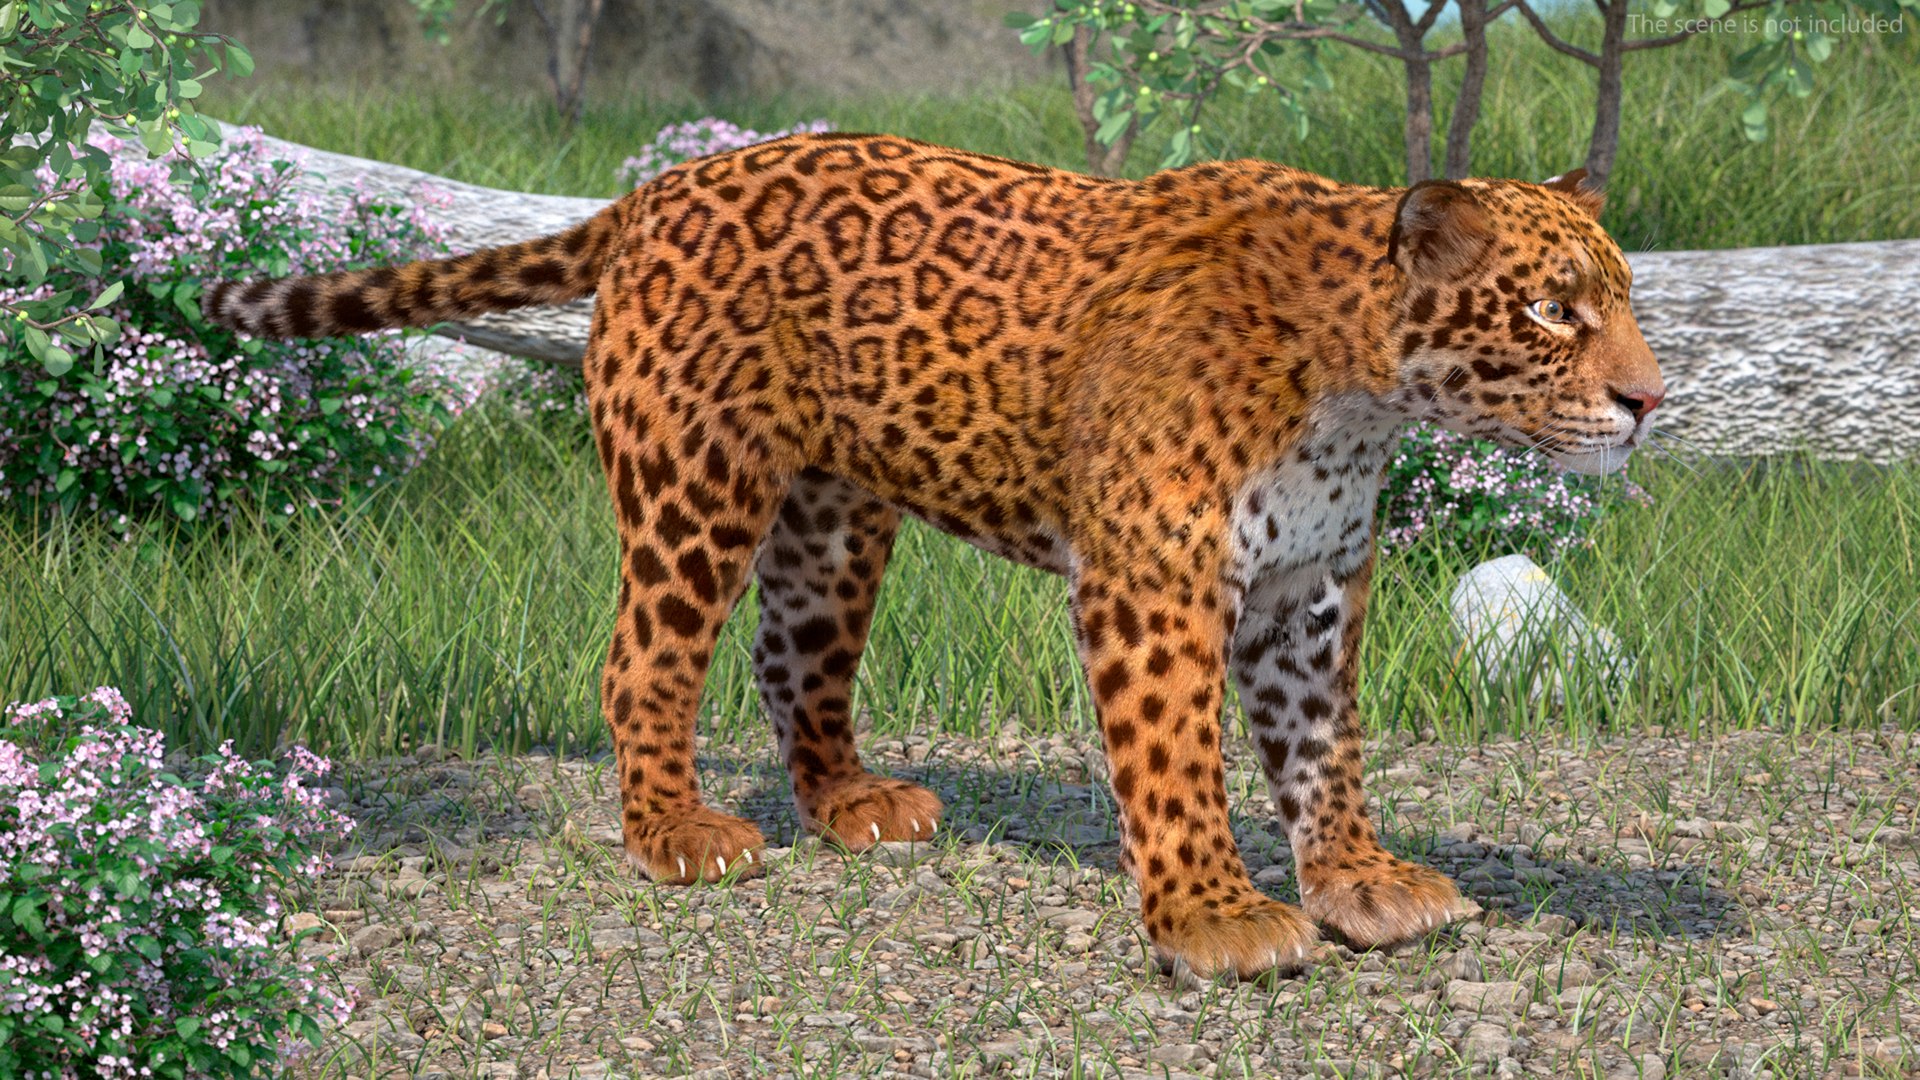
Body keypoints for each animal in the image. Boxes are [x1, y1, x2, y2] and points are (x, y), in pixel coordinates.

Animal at [205, 133, 1665, 981]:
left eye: (1624, 299)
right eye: (1552, 309)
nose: (1652, 400)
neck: (1359, 386)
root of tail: (653, 194)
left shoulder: (1311, 585)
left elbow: (1323, 750)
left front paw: (1360, 881)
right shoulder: (1159, 576)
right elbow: (1177, 755)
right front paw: (1213, 917)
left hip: (837, 518)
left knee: (793, 662)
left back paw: (852, 804)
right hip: (697, 483)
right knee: (642, 661)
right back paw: (676, 834)